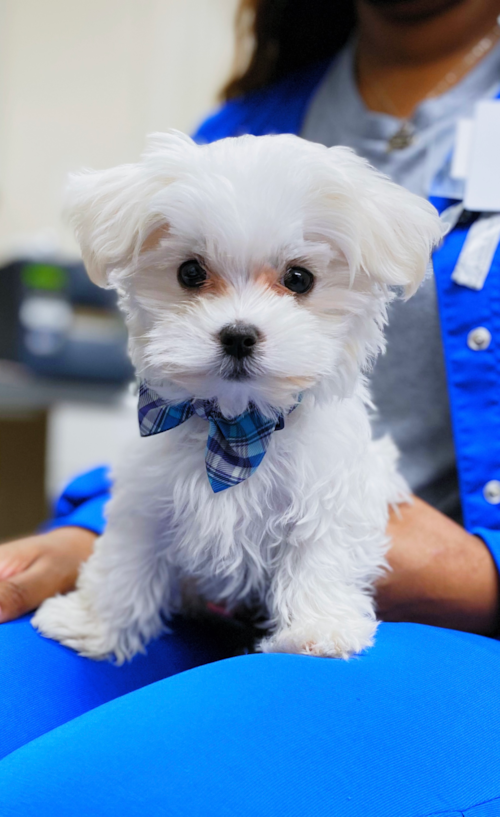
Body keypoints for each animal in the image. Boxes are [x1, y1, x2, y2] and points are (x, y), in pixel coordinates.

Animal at [33, 131, 444, 660]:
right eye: (190, 272)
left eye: (299, 279)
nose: (238, 335)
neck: (236, 425)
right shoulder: (146, 494)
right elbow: (128, 555)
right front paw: (96, 623)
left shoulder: (334, 485)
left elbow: (321, 548)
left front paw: (318, 628)